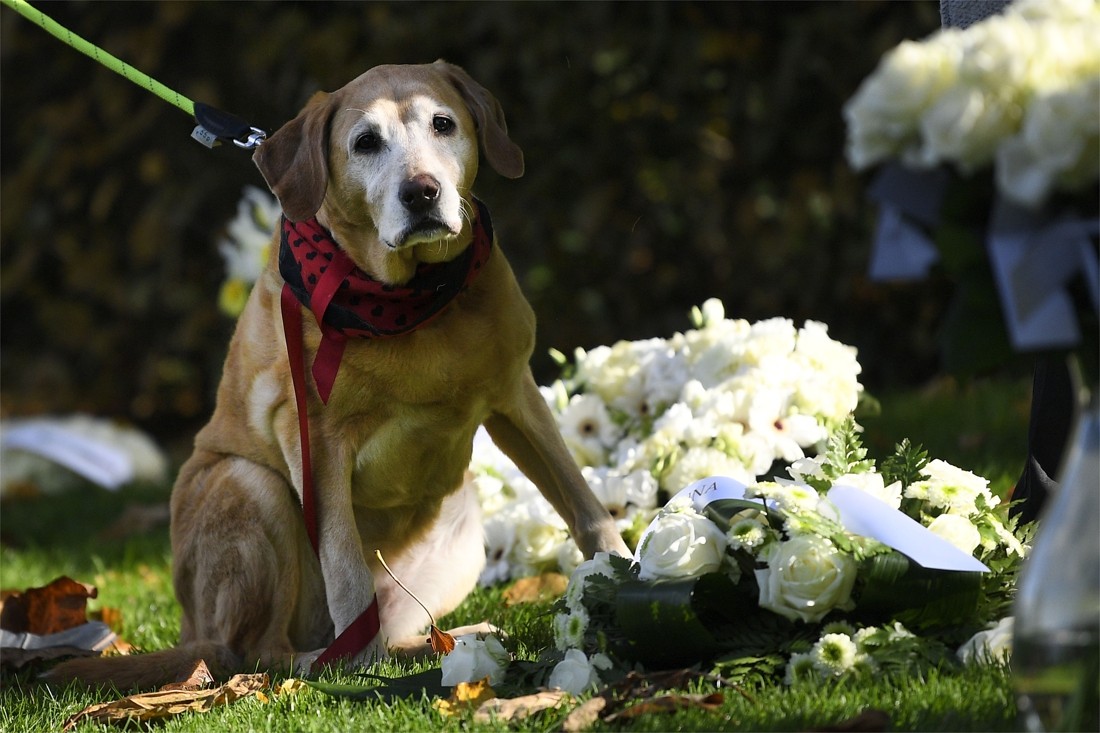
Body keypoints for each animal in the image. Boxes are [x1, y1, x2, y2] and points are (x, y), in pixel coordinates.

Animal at [51, 61, 633, 686]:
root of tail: (189, 629)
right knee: (254, 651)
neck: (413, 302)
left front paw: (626, 576)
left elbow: (584, 505)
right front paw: (361, 671)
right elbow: (346, 566)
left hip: (463, 531)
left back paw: (444, 644)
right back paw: (336, 662)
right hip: (250, 487)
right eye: (365, 143)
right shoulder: (315, 442)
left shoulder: (516, 397)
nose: (422, 191)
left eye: (443, 123)